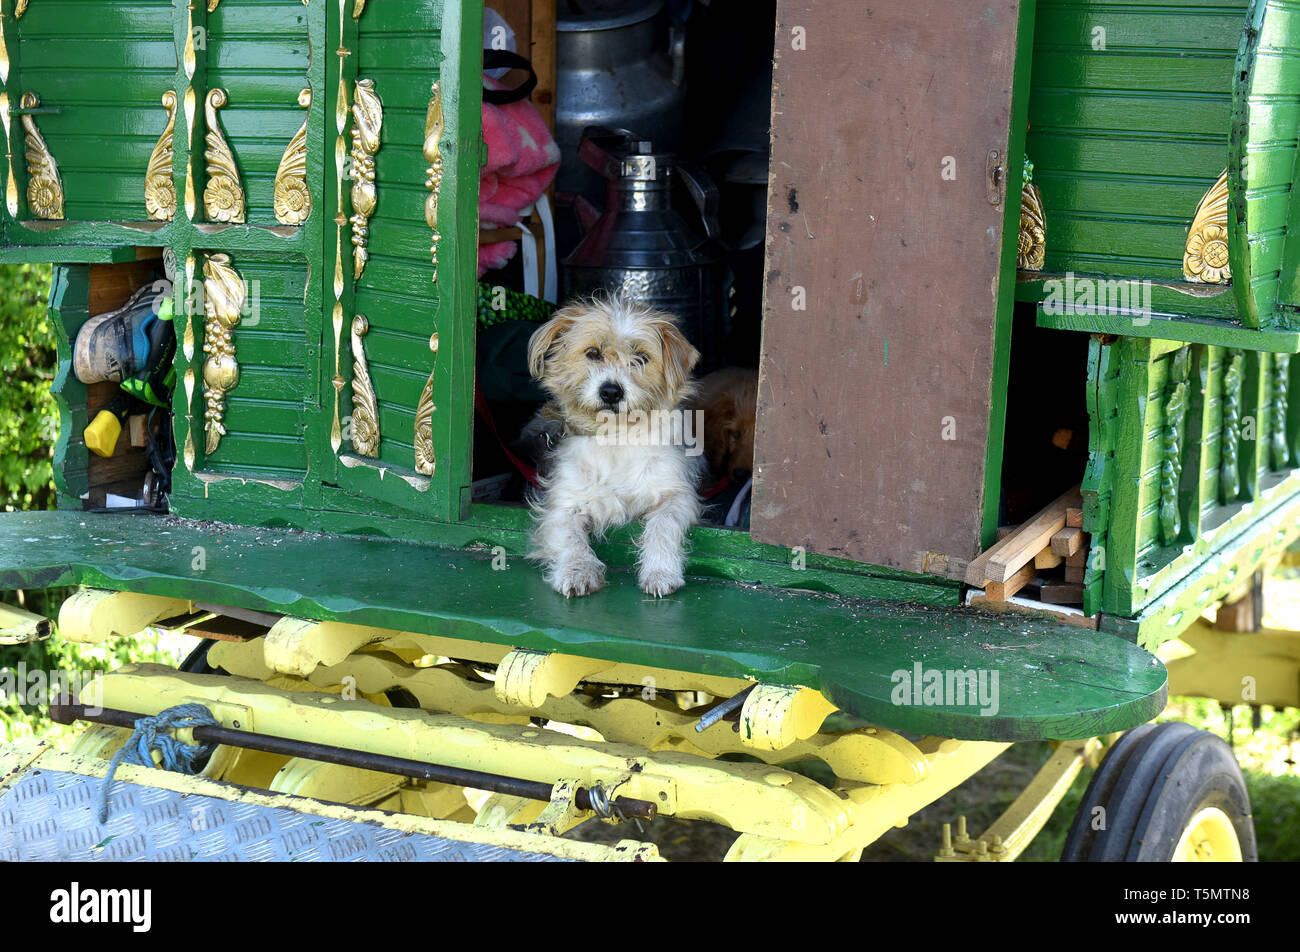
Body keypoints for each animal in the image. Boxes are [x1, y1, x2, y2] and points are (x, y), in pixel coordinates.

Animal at [525, 293, 702, 598]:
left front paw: (660, 571)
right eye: (593, 353)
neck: (616, 437)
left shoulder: (675, 494)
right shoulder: (564, 503)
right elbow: (570, 537)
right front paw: (577, 570)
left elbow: (663, 525)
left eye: (641, 358)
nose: (610, 391)